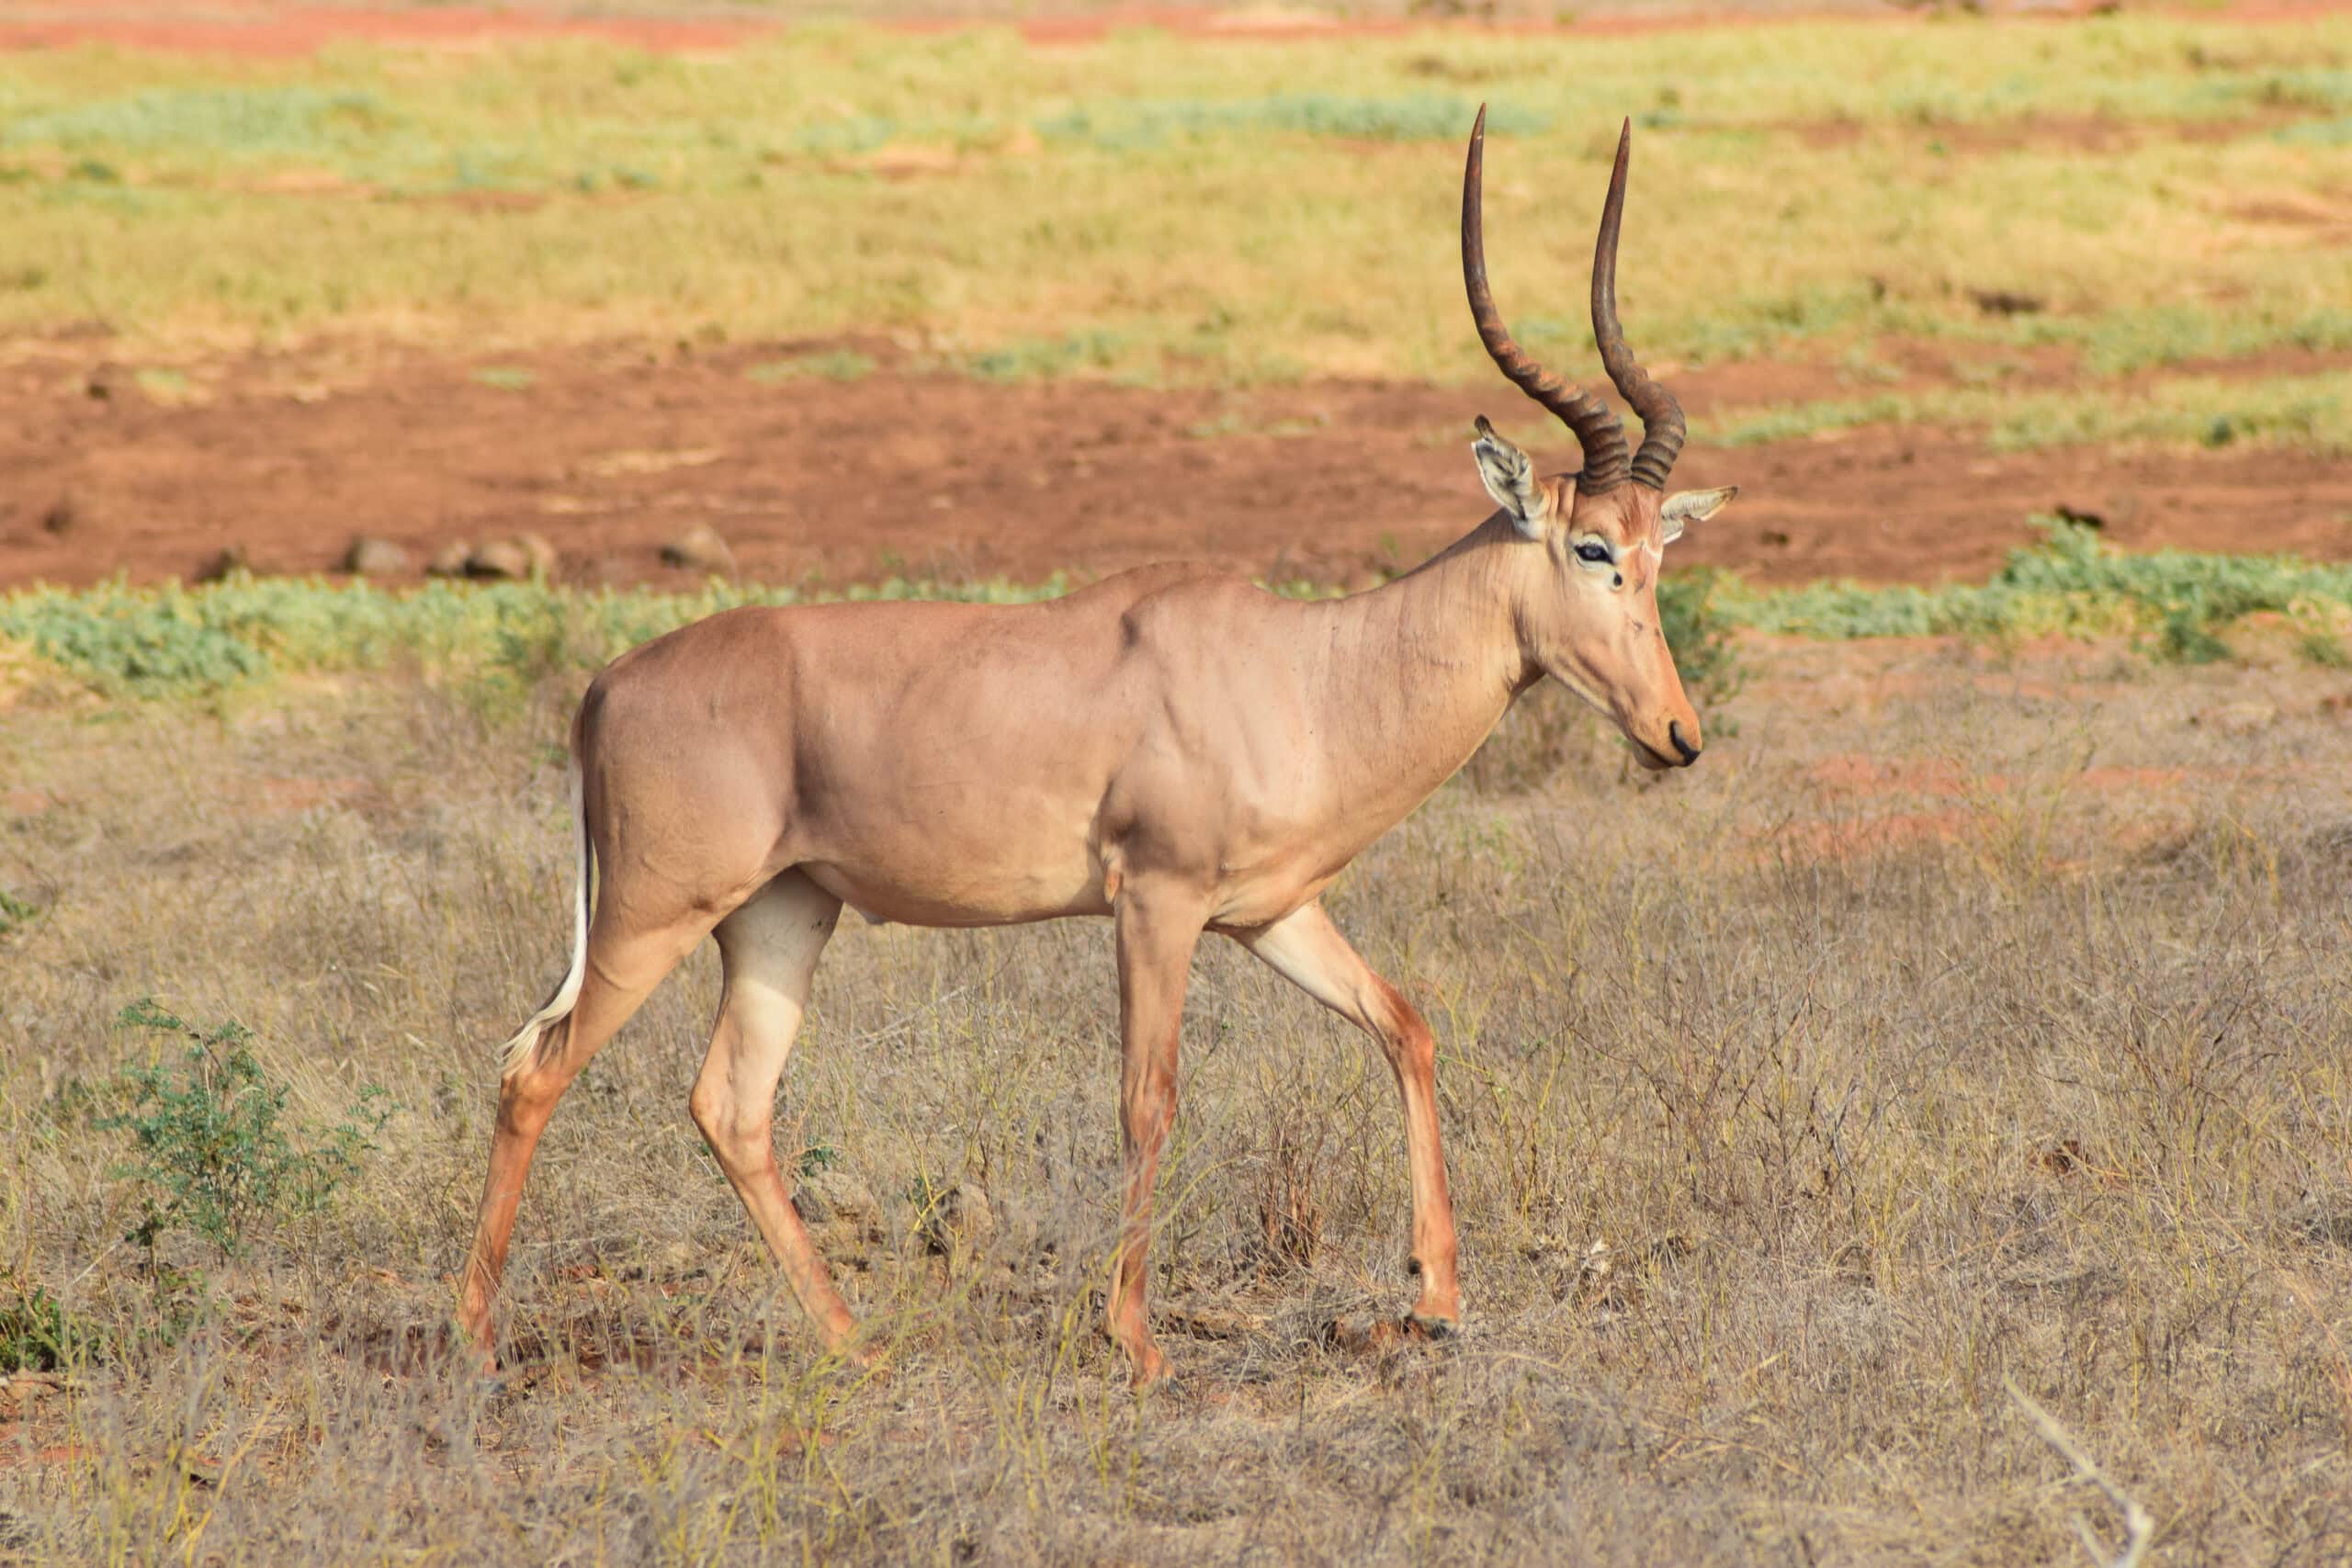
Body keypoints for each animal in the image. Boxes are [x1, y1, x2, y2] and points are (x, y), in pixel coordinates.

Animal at [468, 110, 1740, 1382]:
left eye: (1659, 549)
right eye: (1591, 547)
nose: (1676, 736)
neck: (1300, 667)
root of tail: (606, 686)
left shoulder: (1271, 914)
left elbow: (1407, 1027)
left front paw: (1435, 1298)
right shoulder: (1156, 903)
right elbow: (1149, 1099)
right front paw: (1136, 1342)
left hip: (783, 915)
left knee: (730, 1103)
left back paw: (853, 1343)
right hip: (652, 916)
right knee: (535, 1070)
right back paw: (477, 1340)